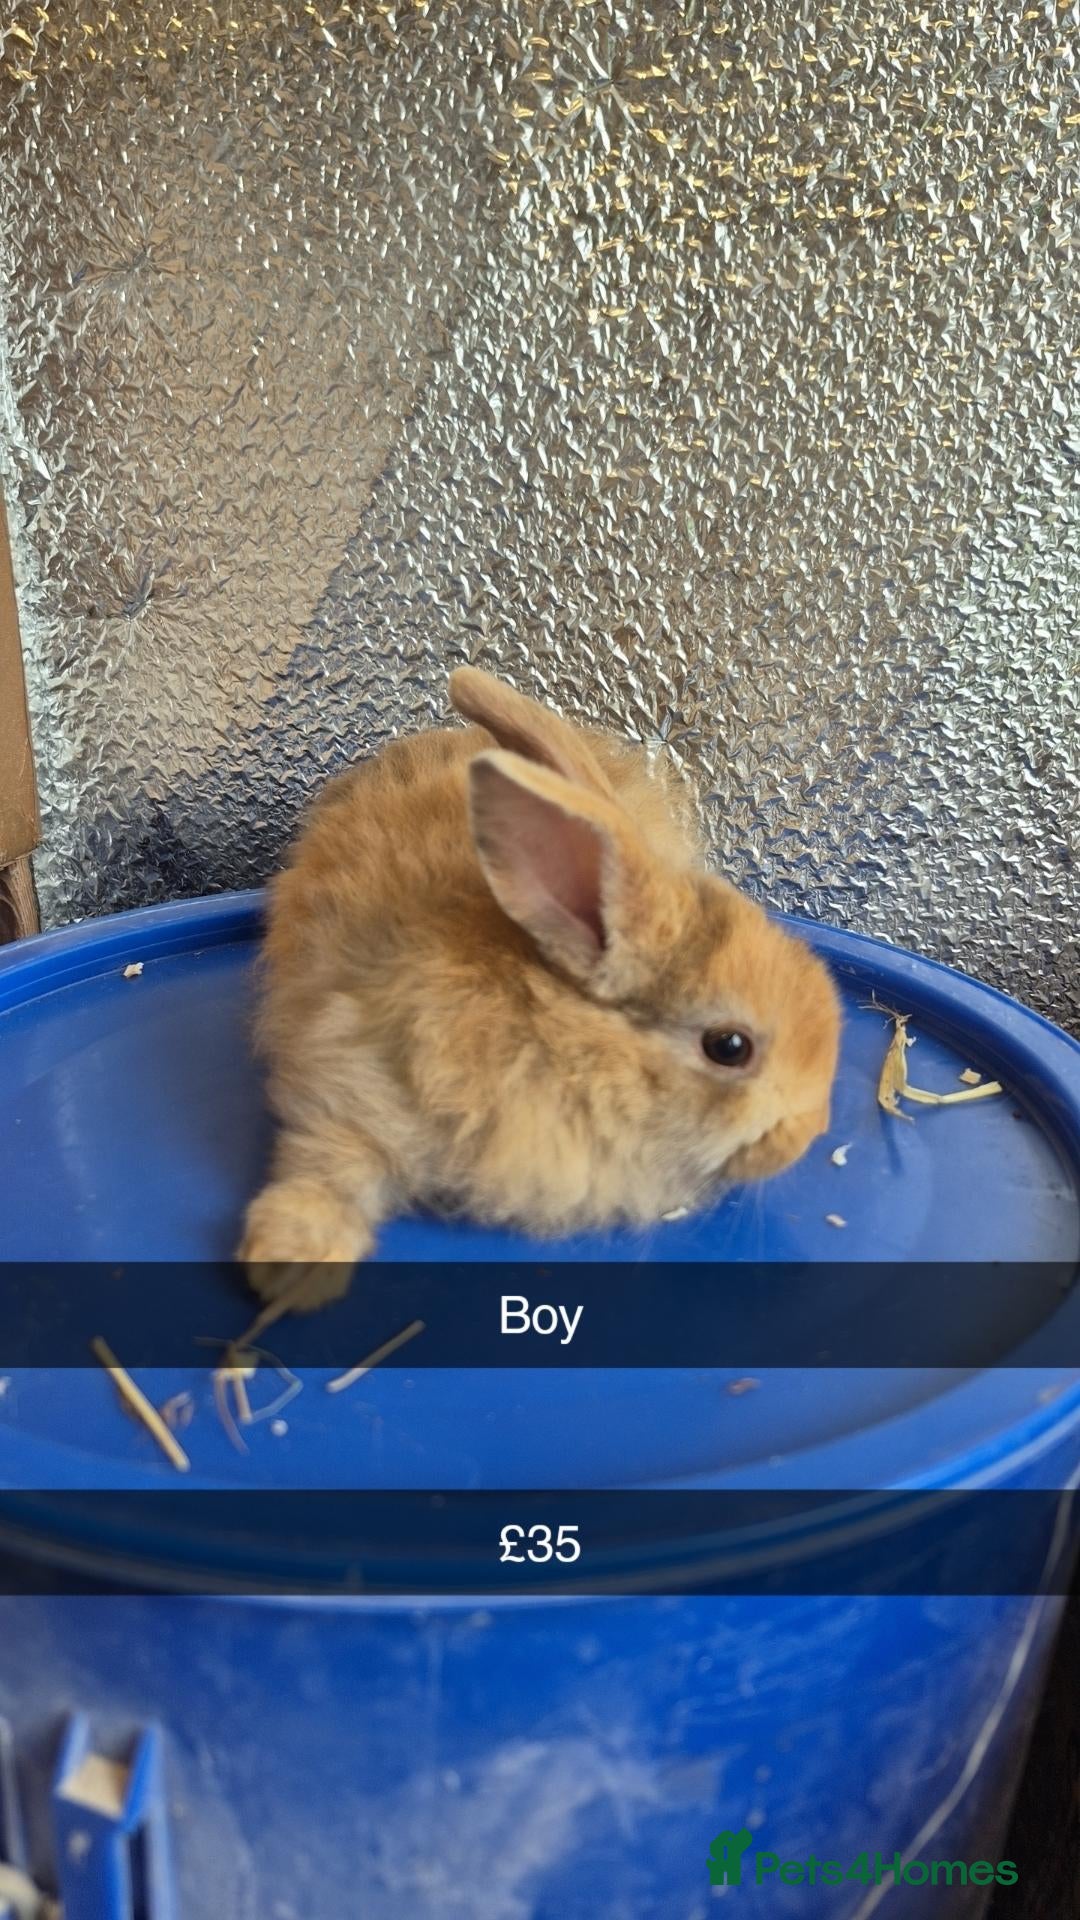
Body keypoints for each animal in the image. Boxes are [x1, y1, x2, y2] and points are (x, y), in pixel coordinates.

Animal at [239, 668, 841, 1311]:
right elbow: (329, 1165)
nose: (810, 1131)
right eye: (729, 1047)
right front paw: (288, 1264)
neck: (551, 1030)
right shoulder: (350, 1072)